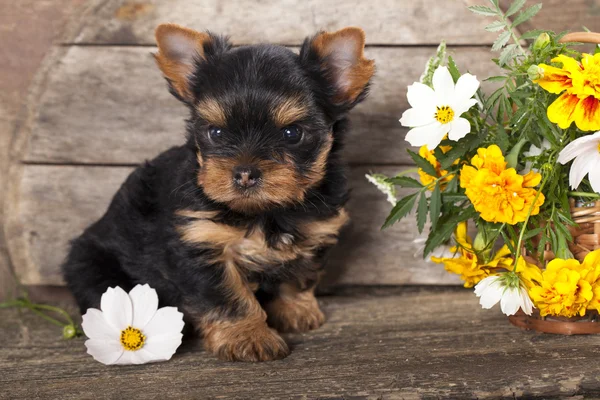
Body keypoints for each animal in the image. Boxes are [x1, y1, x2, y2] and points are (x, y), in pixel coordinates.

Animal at [64, 24, 376, 362]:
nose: (245, 173)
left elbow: (300, 274)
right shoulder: (200, 243)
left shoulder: (316, 230)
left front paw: (297, 310)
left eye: (292, 133)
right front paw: (249, 336)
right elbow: (227, 296)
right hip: (92, 265)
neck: (266, 211)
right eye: (216, 133)